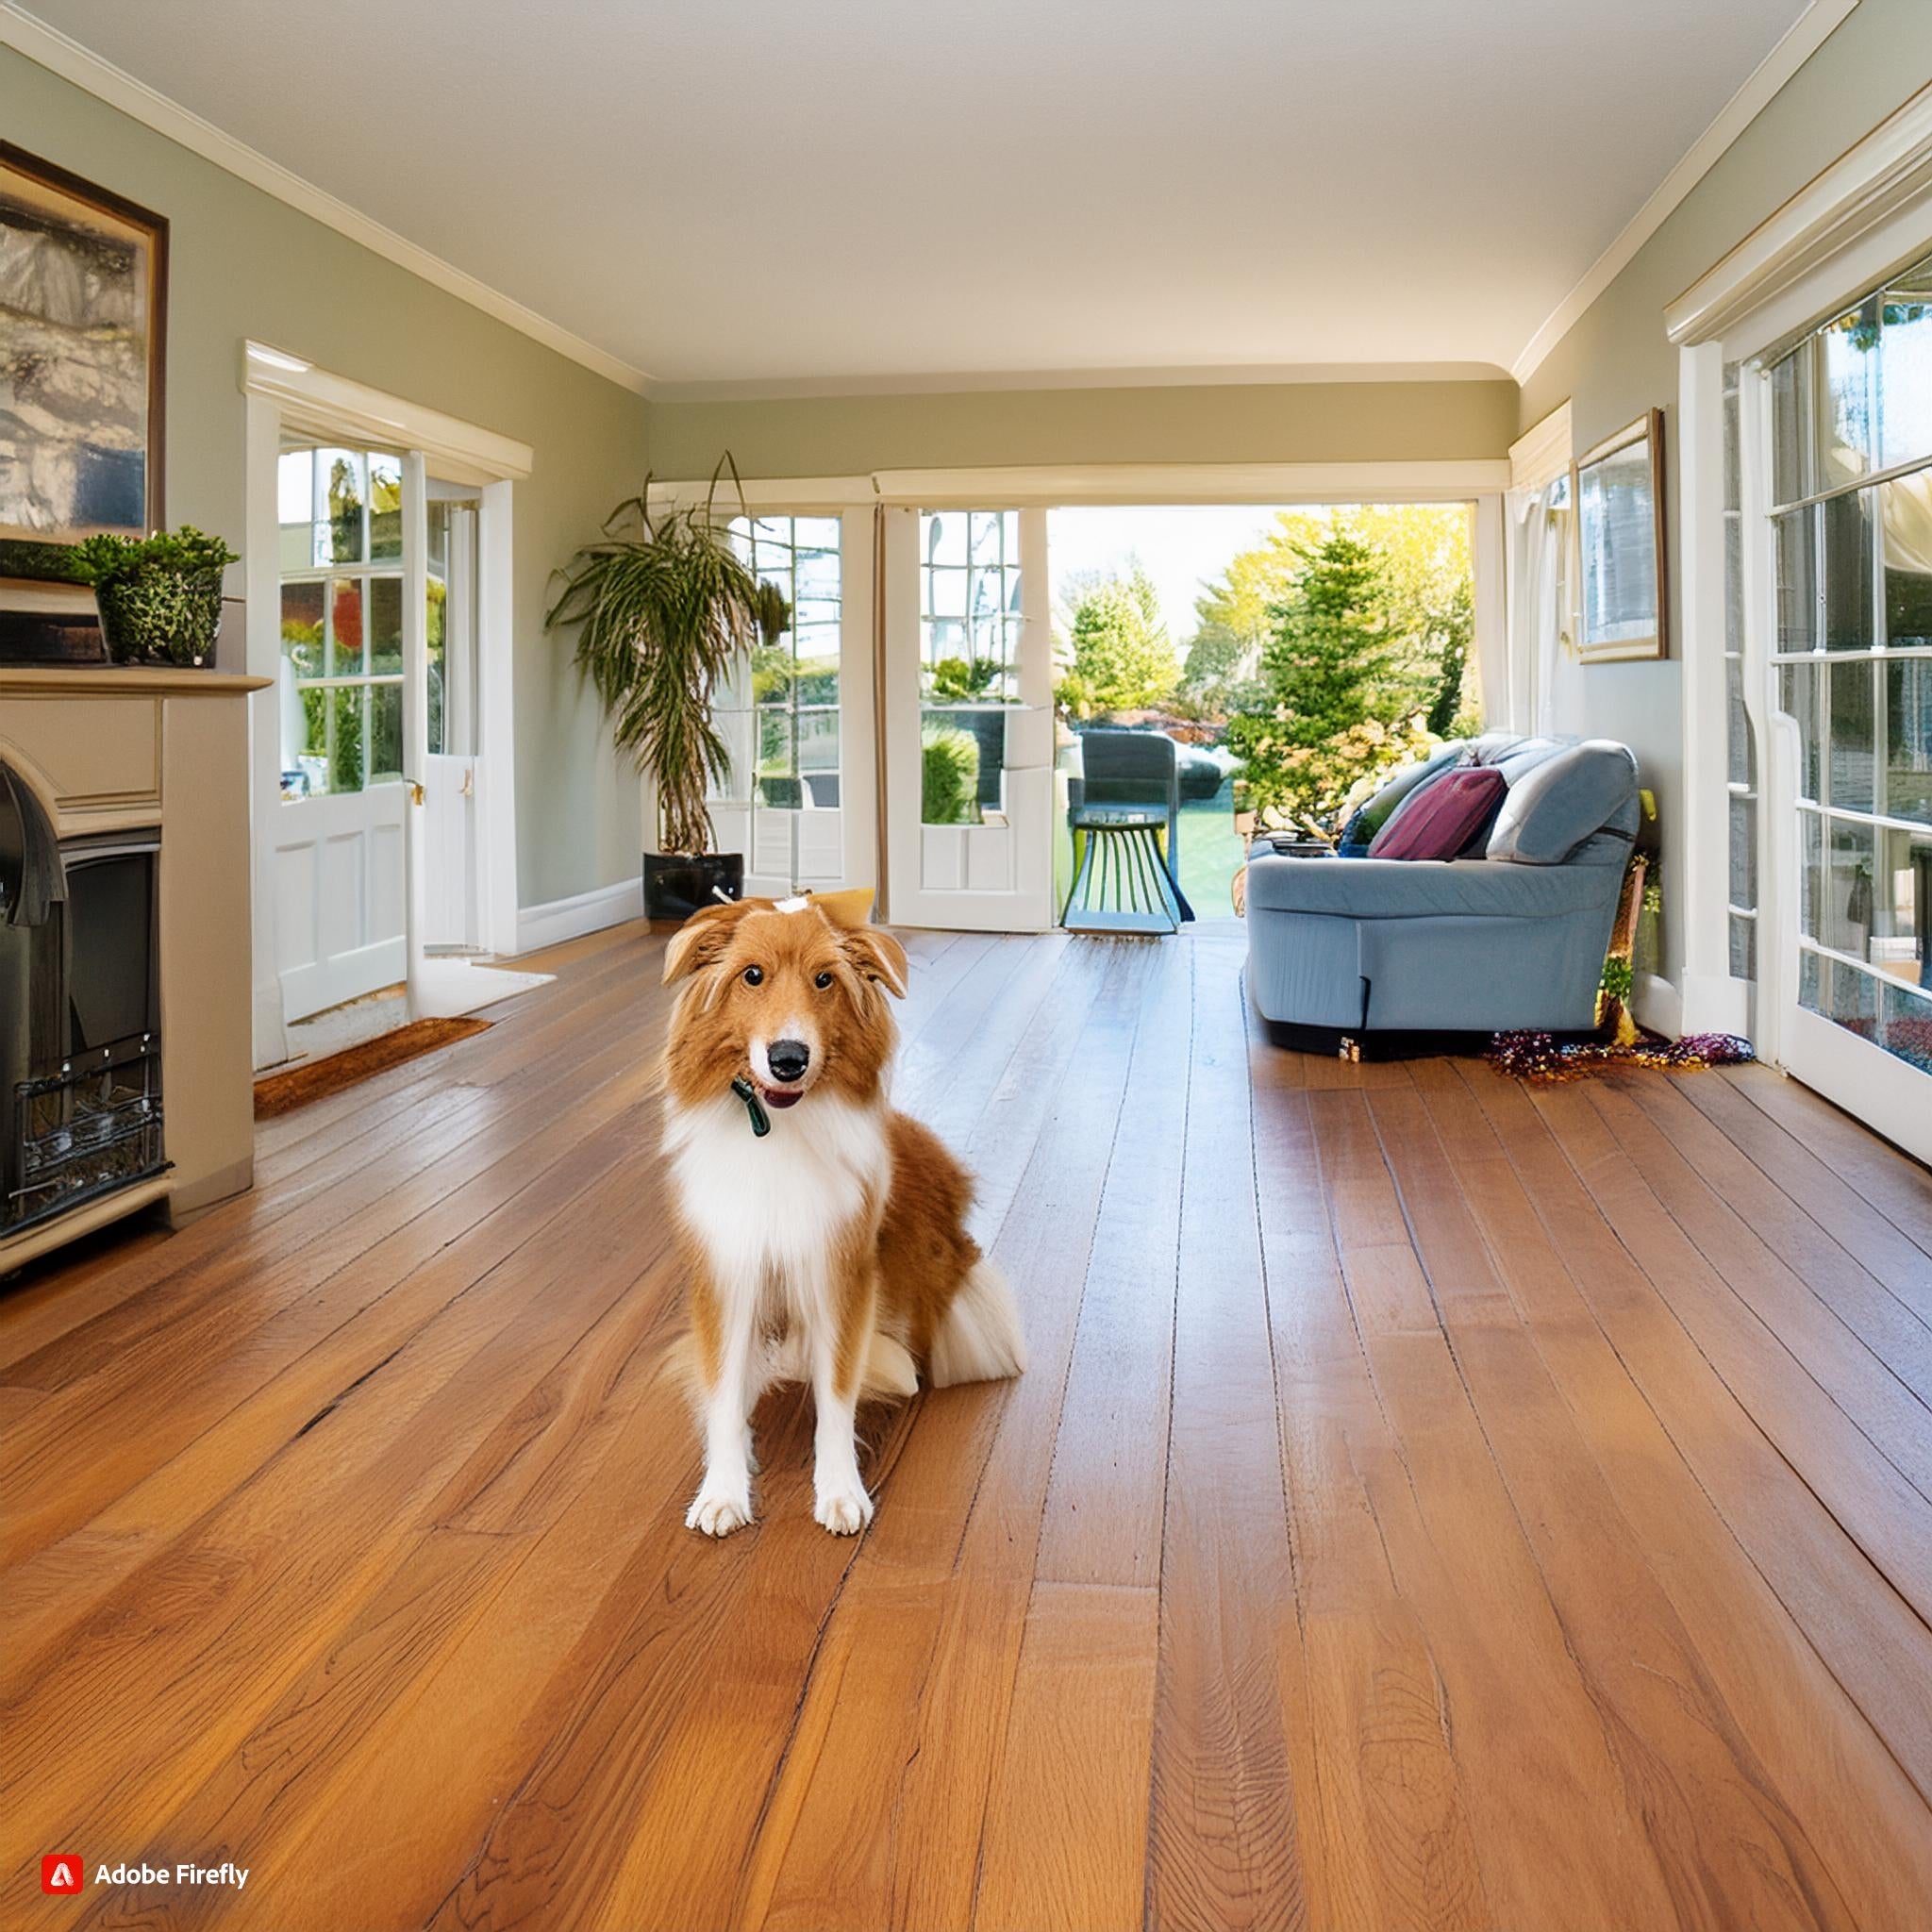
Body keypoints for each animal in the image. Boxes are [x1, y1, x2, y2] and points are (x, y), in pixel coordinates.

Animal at [660, 889, 1027, 1538]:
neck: (775, 1130)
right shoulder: (728, 1271)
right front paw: (723, 1492)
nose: (788, 1059)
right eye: (751, 976)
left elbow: (835, 1395)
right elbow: (724, 1394)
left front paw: (839, 1493)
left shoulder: (841, 1274)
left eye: (824, 979)